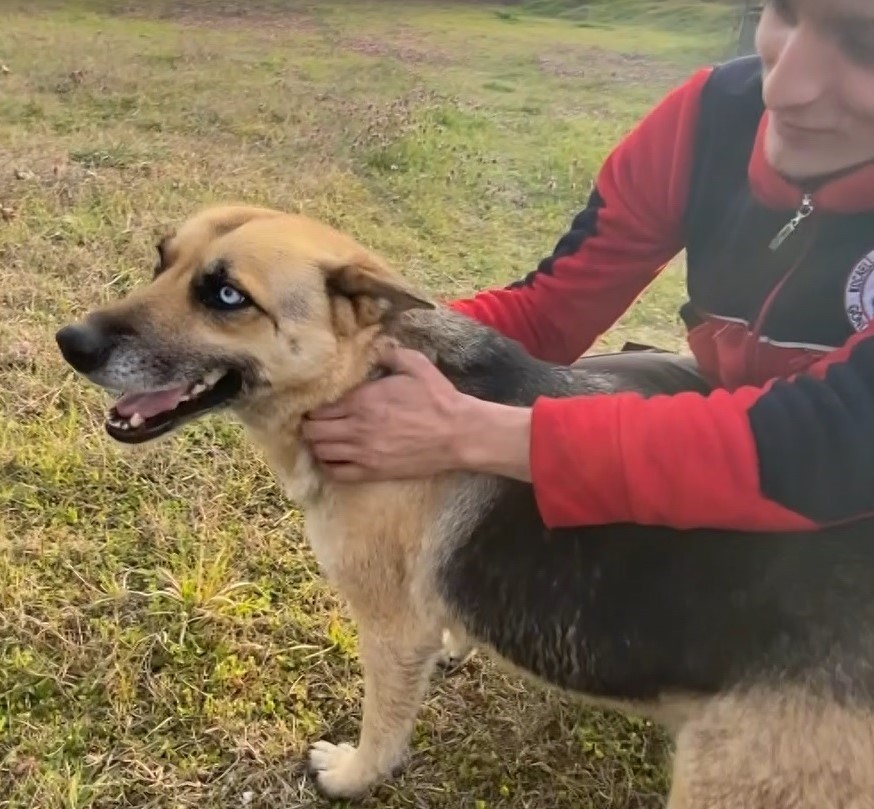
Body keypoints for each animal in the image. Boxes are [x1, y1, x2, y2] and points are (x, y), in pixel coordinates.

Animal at [54, 205, 872, 804]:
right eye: (162, 260)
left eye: (227, 296)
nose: (71, 340)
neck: (359, 377)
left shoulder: (388, 631)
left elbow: (384, 724)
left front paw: (352, 776)